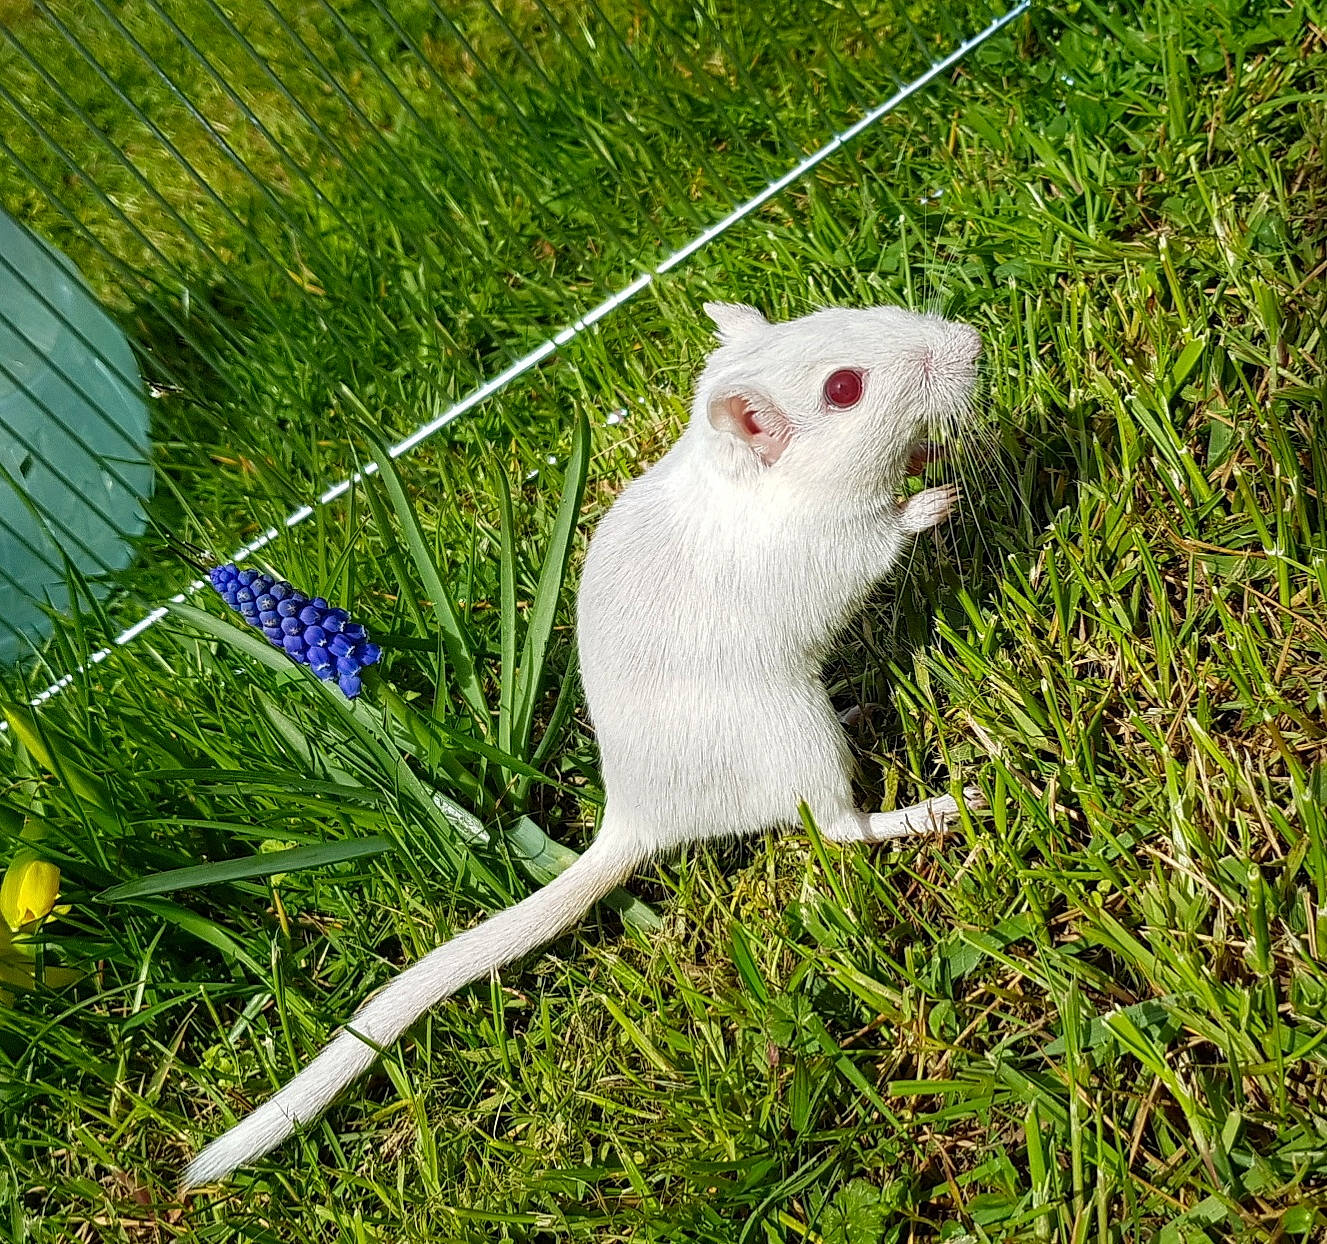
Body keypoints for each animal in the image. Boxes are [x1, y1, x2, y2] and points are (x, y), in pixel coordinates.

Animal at [183, 301, 983, 1186]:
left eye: (844, 318)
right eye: (844, 390)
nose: (973, 345)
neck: (758, 484)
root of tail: (635, 821)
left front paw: (926, 455)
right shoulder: (832, 549)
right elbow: (883, 536)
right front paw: (935, 497)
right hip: (794, 737)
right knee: (840, 831)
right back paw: (939, 808)